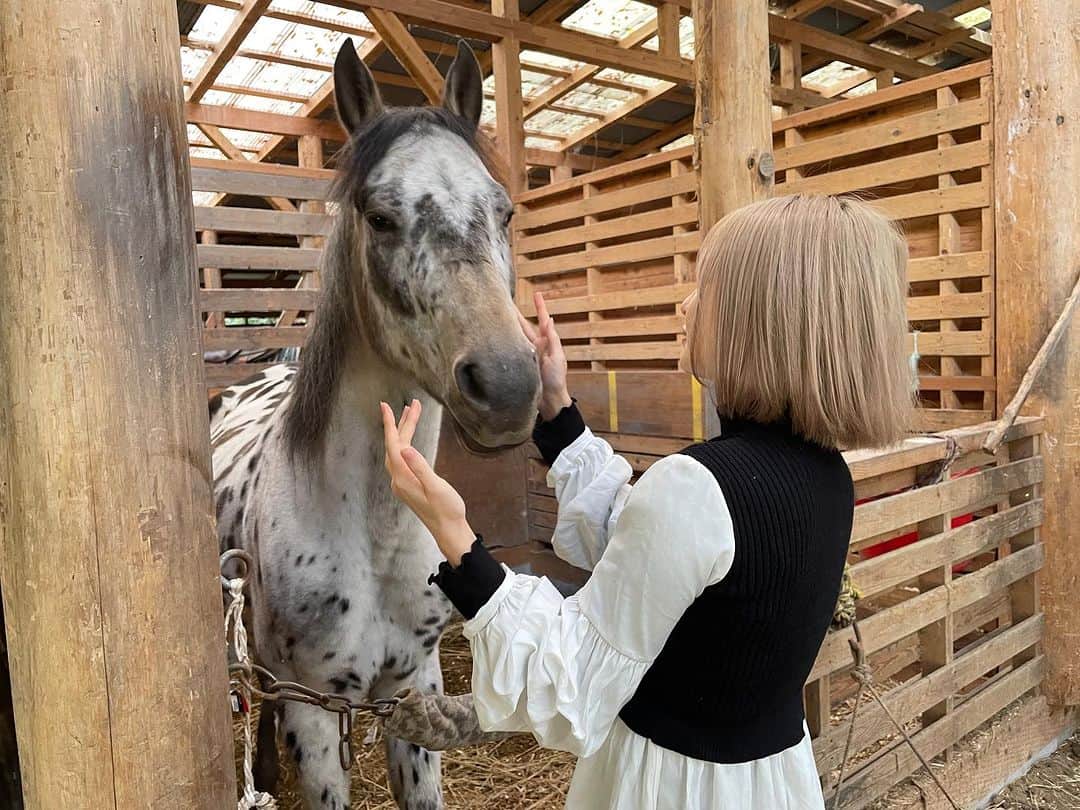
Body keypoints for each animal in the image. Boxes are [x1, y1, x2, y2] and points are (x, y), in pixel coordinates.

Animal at [210, 39, 540, 810]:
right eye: (380, 217)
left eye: (505, 212)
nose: (509, 385)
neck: (375, 530)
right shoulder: (312, 712)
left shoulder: (413, 690)